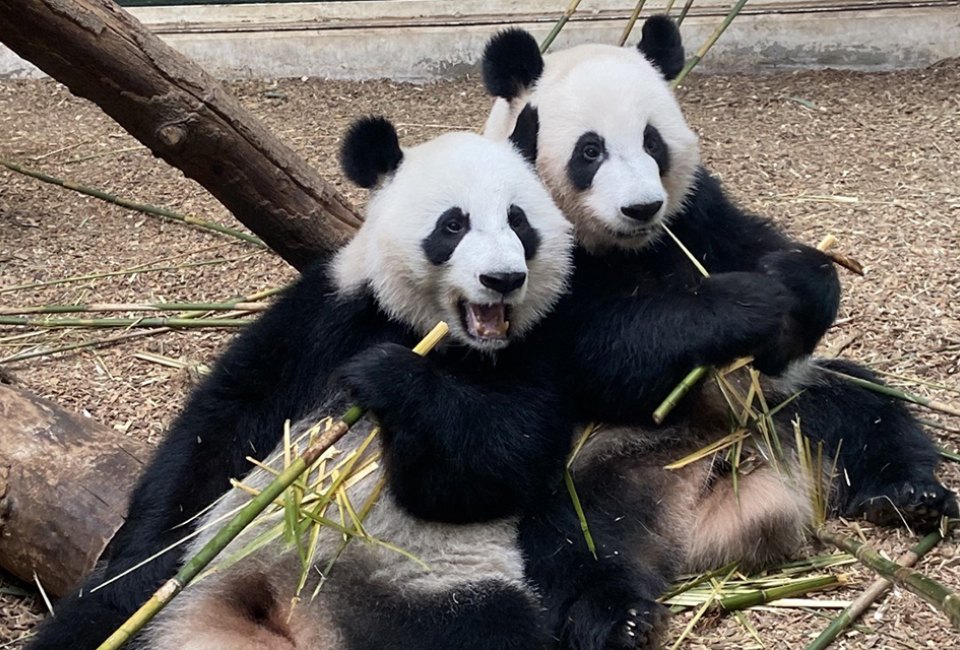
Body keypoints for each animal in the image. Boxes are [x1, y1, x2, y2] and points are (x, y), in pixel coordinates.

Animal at [28, 116, 568, 648]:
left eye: (518, 220)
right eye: (453, 225)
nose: (503, 279)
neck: (437, 336)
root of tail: (290, 614)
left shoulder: (537, 349)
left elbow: (500, 457)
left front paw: (387, 377)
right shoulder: (325, 314)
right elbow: (222, 426)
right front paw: (141, 560)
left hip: (436, 585)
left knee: (487, 625)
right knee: (88, 624)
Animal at [484, 15, 956, 648]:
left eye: (653, 142)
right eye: (590, 150)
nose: (641, 208)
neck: (622, 247)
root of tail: (697, 501)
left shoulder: (694, 208)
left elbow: (748, 243)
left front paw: (796, 278)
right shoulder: (523, 249)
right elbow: (601, 351)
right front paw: (745, 306)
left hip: (782, 405)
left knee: (865, 410)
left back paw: (909, 496)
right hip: (578, 464)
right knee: (559, 537)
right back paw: (617, 616)